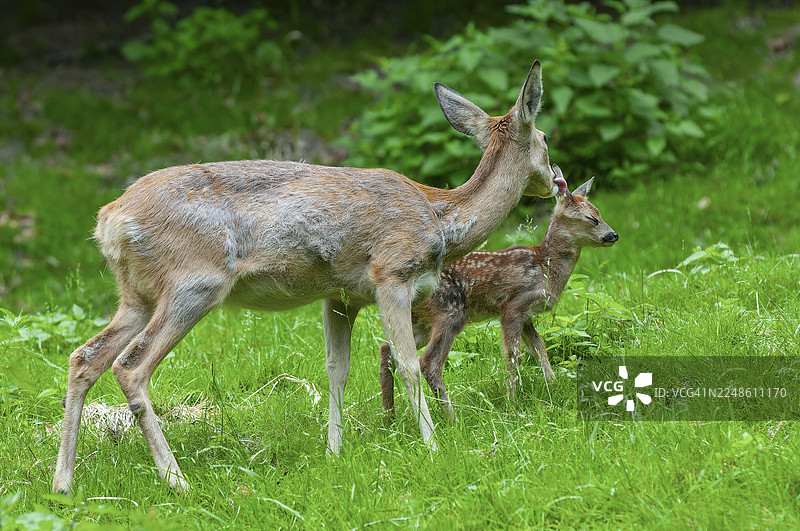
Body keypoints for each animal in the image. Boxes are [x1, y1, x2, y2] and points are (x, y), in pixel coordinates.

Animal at [52, 60, 561, 494]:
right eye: (545, 136)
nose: (556, 180)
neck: (440, 219)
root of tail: (110, 221)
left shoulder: (339, 295)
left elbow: (337, 368)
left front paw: (335, 452)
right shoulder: (390, 275)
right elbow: (409, 363)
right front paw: (433, 447)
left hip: (136, 293)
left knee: (85, 357)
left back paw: (64, 484)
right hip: (194, 283)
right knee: (131, 366)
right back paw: (176, 479)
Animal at [379, 165, 617, 419]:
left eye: (600, 213)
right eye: (591, 218)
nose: (613, 235)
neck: (545, 267)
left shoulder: (526, 314)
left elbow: (539, 347)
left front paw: (552, 383)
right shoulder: (513, 304)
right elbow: (514, 355)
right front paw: (512, 403)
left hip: (424, 320)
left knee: (389, 350)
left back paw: (389, 416)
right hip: (451, 311)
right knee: (428, 362)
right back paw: (451, 418)